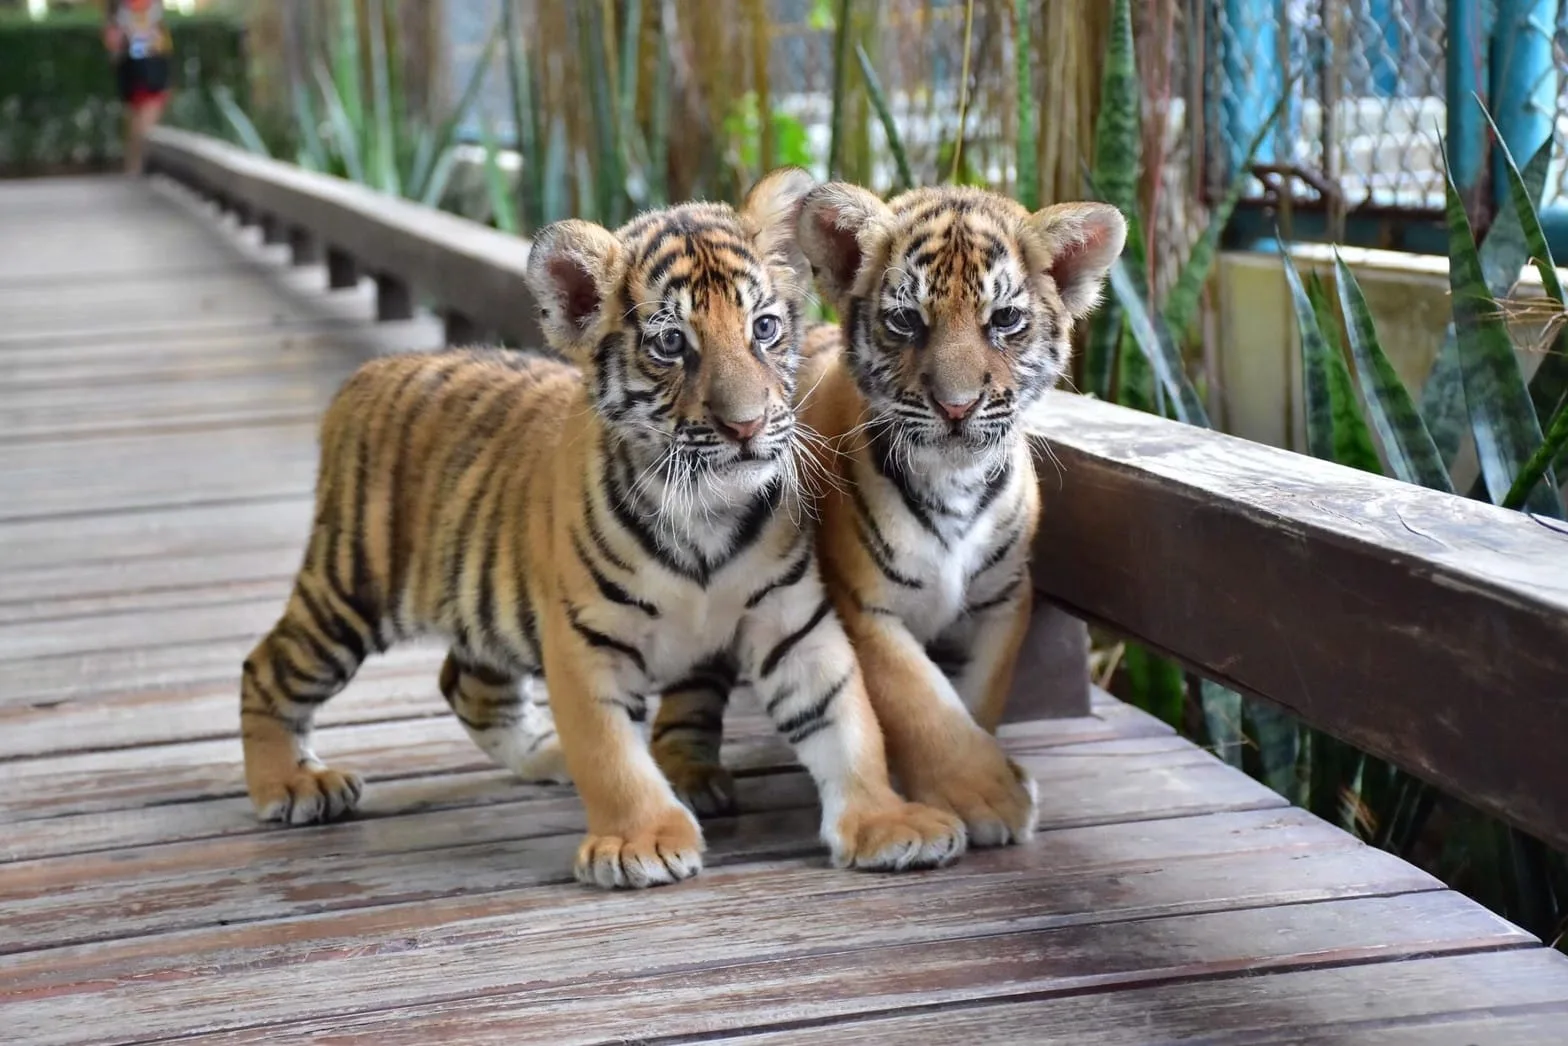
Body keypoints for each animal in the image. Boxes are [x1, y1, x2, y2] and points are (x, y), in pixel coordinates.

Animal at [237, 168, 967, 890]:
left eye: (764, 328)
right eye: (671, 344)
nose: (747, 425)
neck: (707, 514)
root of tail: (366, 374)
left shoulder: (793, 622)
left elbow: (848, 721)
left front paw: (885, 822)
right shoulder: (585, 639)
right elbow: (611, 752)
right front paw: (642, 841)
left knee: (467, 683)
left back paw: (542, 756)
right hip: (350, 591)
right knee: (268, 666)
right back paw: (291, 784)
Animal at [652, 182, 1127, 847]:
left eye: (1004, 320)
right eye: (906, 320)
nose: (957, 407)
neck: (955, 482)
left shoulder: (1003, 600)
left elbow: (976, 699)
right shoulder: (864, 603)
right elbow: (920, 702)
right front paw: (988, 797)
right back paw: (691, 779)